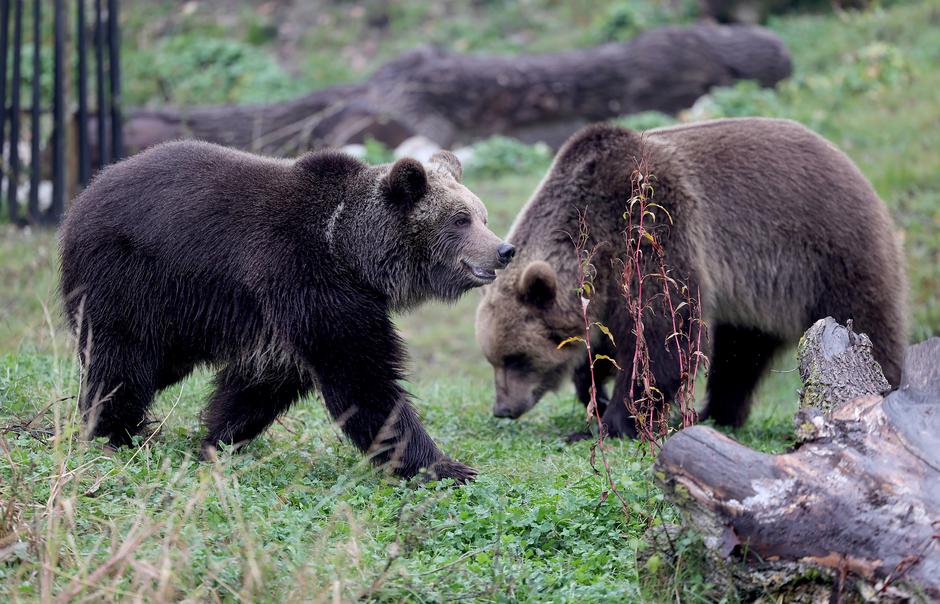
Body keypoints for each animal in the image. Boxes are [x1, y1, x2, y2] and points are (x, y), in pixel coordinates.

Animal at [58, 140, 516, 482]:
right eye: (460, 219)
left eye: (482, 215)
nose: (504, 249)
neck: (349, 249)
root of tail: (84, 195)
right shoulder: (304, 275)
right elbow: (362, 379)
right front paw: (445, 465)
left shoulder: (291, 310)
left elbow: (262, 384)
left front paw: (219, 437)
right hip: (132, 278)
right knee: (123, 357)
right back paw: (114, 429)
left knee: (153, 363)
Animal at [478, 118, 912, 436]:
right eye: (493, 359)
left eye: (516, 358)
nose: (503, 408)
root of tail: (854, 168)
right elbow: (607, 343)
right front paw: (594, 395)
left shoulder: (651, 222)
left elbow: (664, 330)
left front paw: (617, 421)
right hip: (761, 293)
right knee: (741, 351)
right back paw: (716, 412)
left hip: (828, 253)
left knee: (868, 322)